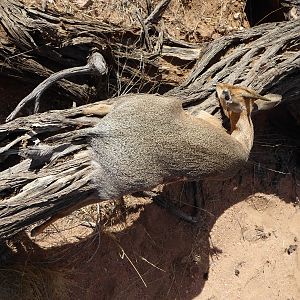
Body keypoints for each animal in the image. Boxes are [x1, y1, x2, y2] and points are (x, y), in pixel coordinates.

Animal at [32, 83, 282, 236]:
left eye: (228, 94)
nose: (218, 85)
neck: (242, 146)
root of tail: (108, 132)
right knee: (100, 107)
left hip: (113, 182)